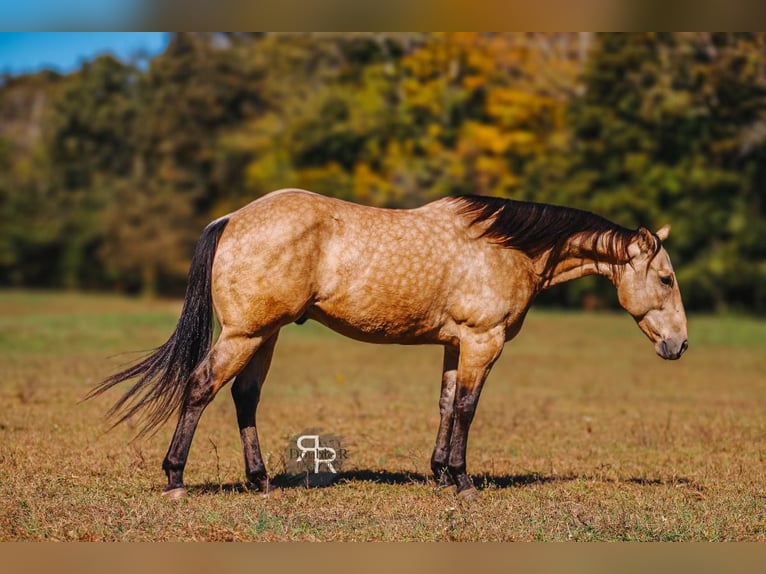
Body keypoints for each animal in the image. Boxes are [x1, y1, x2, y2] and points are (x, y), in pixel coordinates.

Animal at [88, 188, 688, 500]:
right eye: (665, 279)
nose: (679, 346)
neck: (508, 247)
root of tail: (233, 217)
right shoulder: (483, 341)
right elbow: (468, 408)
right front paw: (463, 482)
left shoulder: (455, 343)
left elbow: (446, 405)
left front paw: (441, 473)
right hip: (245, 334)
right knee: (201, 387)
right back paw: (175, 479)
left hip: (265, 335)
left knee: (244, 398)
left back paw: (260, 482)